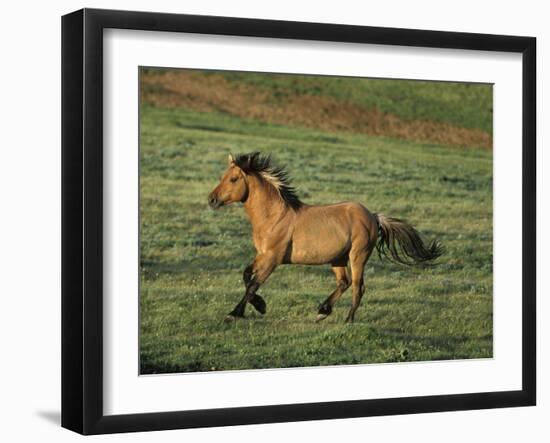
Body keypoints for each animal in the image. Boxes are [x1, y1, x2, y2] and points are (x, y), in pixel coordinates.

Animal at [208, 152, 444, 322]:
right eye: (222, 177)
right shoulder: (262, 254)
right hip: (337, 258)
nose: (211, 200)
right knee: (344, 283)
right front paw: (258, 306)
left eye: (233, 179)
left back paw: (347, 320)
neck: (273, 216)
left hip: (357, 256)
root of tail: (373, 216)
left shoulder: (273, 258)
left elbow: (253, 284)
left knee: (358, 287)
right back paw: (323, 310)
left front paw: (237, 312)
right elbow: (246, 276)